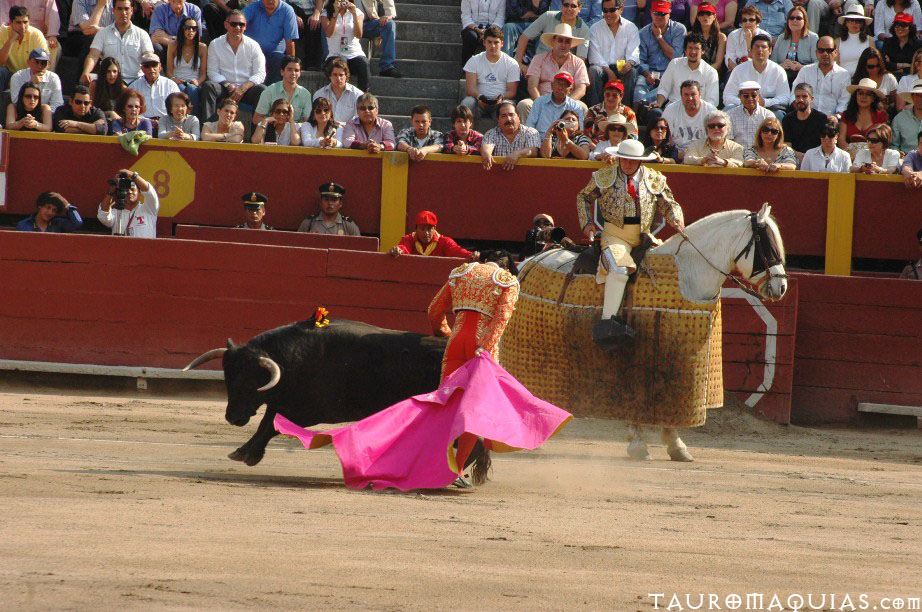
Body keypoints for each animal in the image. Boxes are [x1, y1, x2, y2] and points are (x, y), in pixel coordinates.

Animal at [183, 320, 492, 478]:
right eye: (227, 377)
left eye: (249, 381)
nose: (232, 417)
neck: (289, 359)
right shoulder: (284, 403)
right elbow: (267, 423)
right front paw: (244, 451)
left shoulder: (304, 410)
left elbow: (268, 426)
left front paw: (248, 454)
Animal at [504, 203, 784, 462]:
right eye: (768, 245)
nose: (781, 287)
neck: (688, 271)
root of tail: (528, 263)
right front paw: (639, 445)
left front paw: (675, 445)